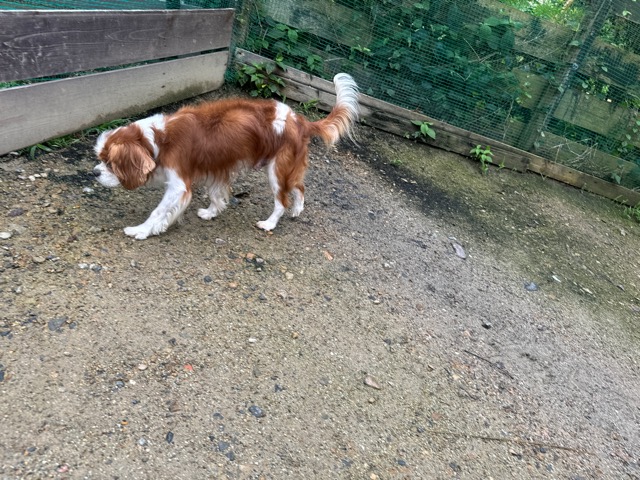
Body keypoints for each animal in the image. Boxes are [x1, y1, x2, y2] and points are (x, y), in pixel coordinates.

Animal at [92, 73, 359, 239]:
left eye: (110, 163)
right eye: (100, 159)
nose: (94, 172)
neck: (157, 138)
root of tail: (300, 120)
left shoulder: (179, 185)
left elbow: (158, 211)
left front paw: (141, 230)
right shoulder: (215, 166)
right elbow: (216, 194)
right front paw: (212, 212)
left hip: (277, 170)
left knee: (281, 201)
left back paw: (270, 223)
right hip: (287, 168)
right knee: (299, 187)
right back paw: (297, 210)